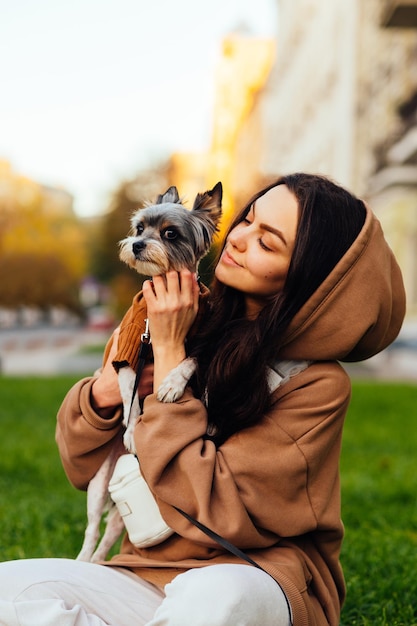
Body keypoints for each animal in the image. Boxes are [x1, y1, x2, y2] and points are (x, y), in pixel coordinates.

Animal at [76, 180, 223, 560]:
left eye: (170, 233)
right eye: (140, 228)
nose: (137, 244)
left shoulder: (202, 342)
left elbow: (190, 363)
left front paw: (173, 384)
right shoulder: (129, 350)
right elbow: (131, 400)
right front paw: (131, 430)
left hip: (116, 510)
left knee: (107, 540)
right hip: (98, 488)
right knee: (91, 530)